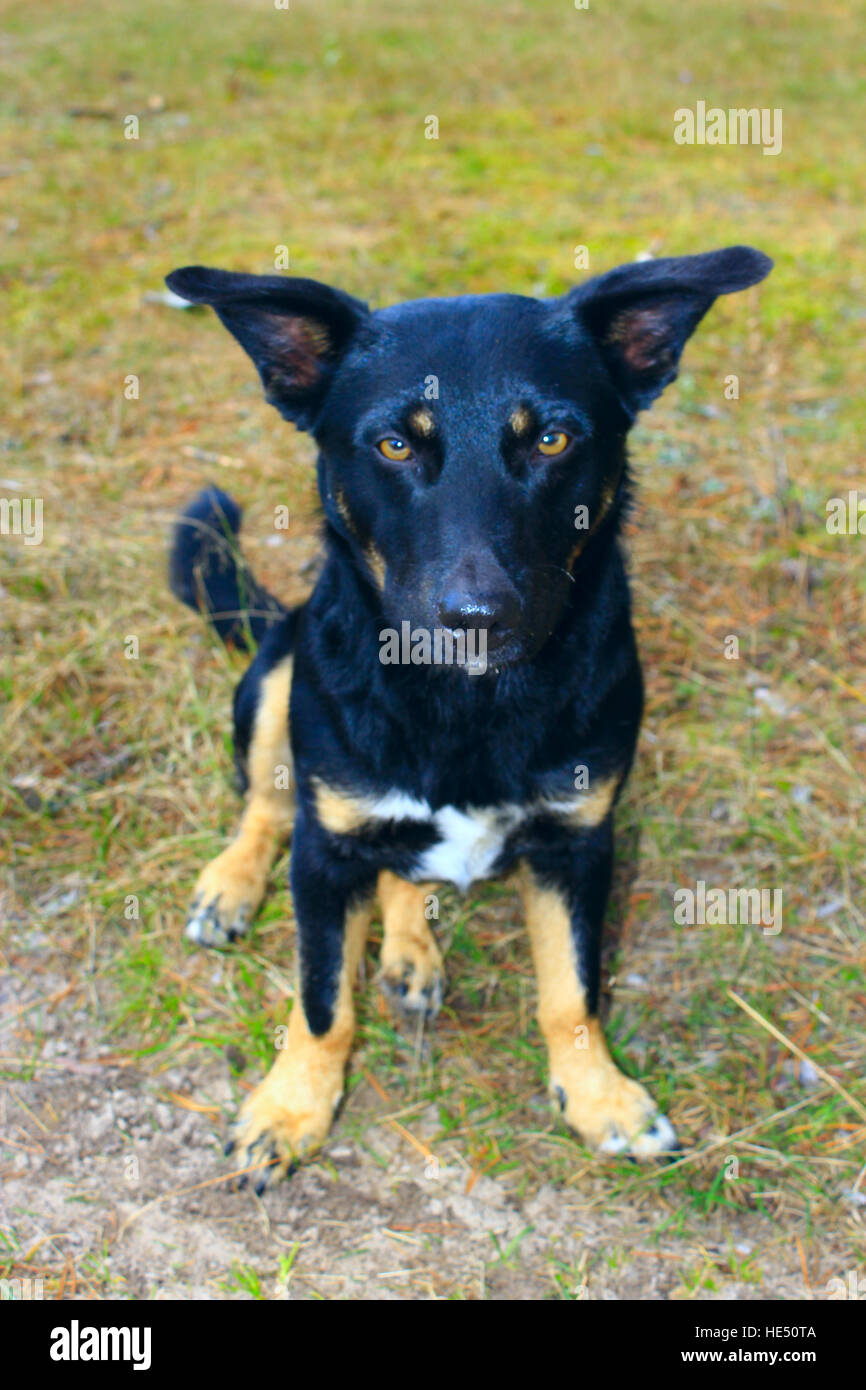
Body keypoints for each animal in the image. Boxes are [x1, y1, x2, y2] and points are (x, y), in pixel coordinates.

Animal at [167, 244, 772, 1189]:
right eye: (394, 444)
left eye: (553, 438)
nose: (477, 616)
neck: (468, 701)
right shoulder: (326, 851)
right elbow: (321, 1001)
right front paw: (291, 1109)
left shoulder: (579, 842)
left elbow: (572, 991)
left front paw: (597, 1094)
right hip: (279, 673)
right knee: (266, 805)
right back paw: (231, 887)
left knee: (404, 873)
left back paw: (411, 951)